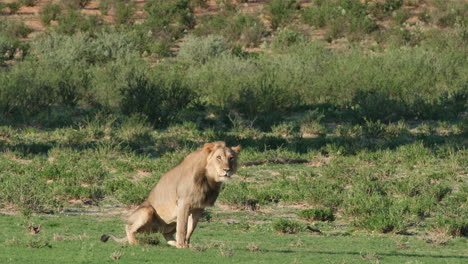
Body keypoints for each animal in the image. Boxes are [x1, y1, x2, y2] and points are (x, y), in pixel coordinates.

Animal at [102, 141, 241, 249]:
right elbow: (183, 227)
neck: (210, 179)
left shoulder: (198, 208)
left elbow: (190, 228)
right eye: (219, 157)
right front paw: (182, 245)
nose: (227, 170)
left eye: (231, 158)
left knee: (167, 236)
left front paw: (187, 244)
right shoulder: (183, 202)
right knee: (128, 227)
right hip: (147, 210)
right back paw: (135, 242)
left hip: (168, 223)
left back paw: (173, 243)